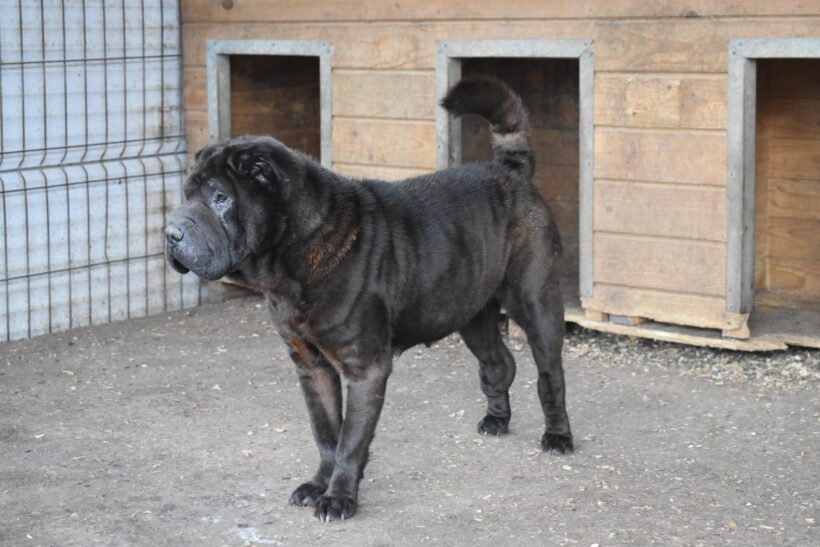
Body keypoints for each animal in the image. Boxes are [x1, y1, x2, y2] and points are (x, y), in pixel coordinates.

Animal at [164, 78, 572, 524]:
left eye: (220, 197)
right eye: (186, 194)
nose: (171, 232)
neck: (294, 256)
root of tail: (510, 171)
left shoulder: (365, 368)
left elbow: (350, 440)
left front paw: (339, 498)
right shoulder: (312, 367)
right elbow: (326, 433)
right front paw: (317, 485)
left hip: (536, 304)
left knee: (550, 377)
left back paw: (558, 436)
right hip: (472, 313)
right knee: (499, 364)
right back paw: (497, 421)